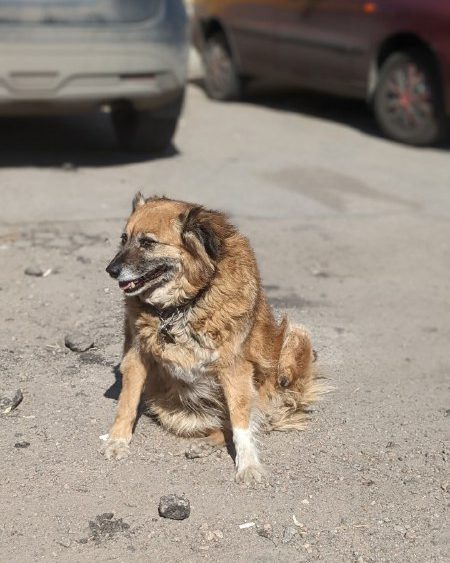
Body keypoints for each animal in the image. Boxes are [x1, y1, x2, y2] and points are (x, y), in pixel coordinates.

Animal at [103, 194, 324, 484]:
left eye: (148, 242)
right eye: (123, 238)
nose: (110, 270)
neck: (184, 305)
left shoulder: (235, 367)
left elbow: (241, 421)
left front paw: (248, 465)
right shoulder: (137, 353)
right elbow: (127, 402)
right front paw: (117, 440)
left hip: (295, 339)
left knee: (240, 421)